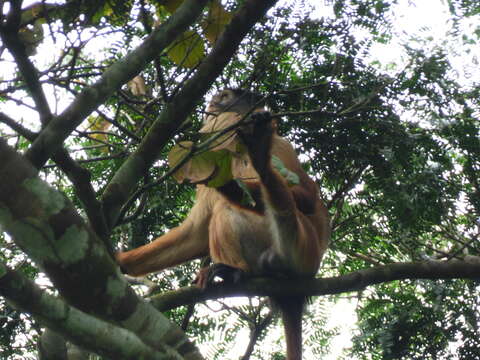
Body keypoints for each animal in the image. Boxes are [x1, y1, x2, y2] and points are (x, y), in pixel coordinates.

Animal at [118, 88, 332, 360]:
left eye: (227, 95)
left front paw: (239, 177)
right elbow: (195, 233)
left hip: (303, 249)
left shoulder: (273, 141)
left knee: (232, 208)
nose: (215, 100)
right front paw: (120, 261)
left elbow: (308, 197)